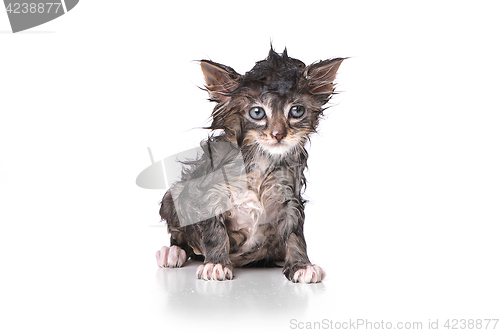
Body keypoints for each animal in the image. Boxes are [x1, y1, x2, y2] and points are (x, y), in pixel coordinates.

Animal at [156, 47, 344, 282]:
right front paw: (216, 263)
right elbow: (214, 232)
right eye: (257, 113)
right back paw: (172, 252)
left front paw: (301, 265)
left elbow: (295, 235)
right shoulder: (208, 193)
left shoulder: (289, 198)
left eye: (296, 111)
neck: (261, 164)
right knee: (180, 238)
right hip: (171, 198)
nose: (278, 134)